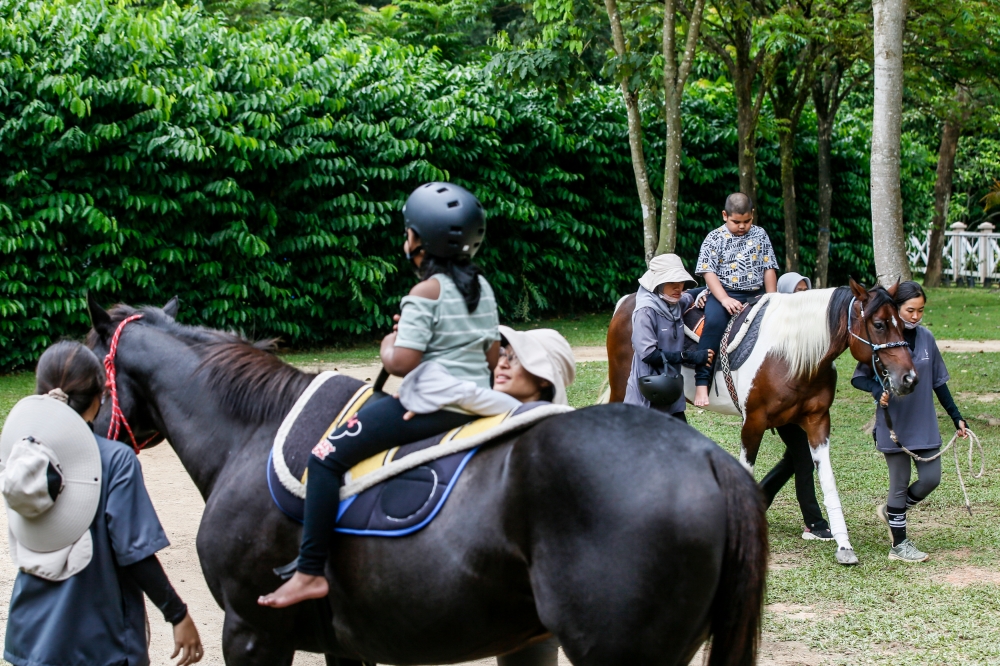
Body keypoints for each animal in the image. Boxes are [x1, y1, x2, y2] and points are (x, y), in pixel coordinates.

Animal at [604, 278, 916, 564]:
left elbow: (826, 479)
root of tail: (627, 302)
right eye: (879, 325)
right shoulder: (753, 422)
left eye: (902, 323)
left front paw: (843, 544)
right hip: (624, 389)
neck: (792, 354)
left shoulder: (816, 421)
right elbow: (747, 468)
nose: (909, 378)